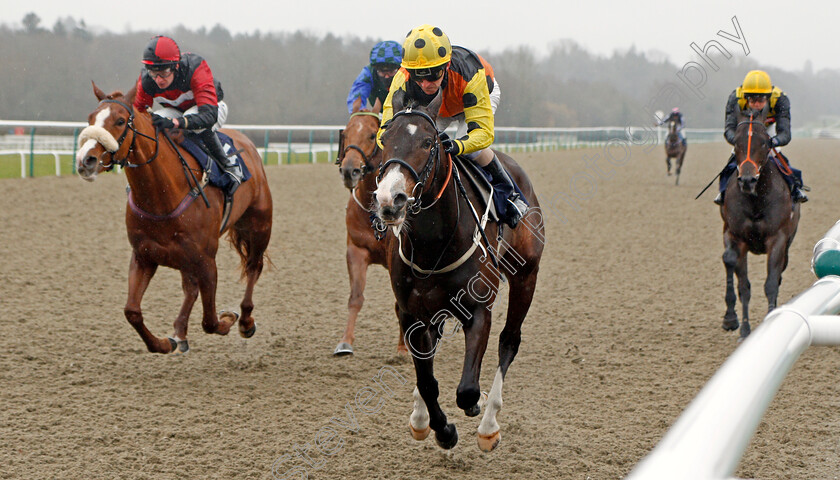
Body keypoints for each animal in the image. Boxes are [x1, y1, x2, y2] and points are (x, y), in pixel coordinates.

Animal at [76, 82, 272, 352]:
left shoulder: (206, 260)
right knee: (190, 288)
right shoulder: (144, 255)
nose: (86, 160)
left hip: (259, 226)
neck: (162, 197)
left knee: (254, 267)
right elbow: (132, 311)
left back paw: (245, 321)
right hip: (184, 258)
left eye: (120, 120)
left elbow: (210, 321)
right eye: (90, 119)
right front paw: (164, 343)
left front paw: (228, 318)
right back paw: (180, 332)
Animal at [332, 109, 404, 356]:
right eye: (346, 133)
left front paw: (403, 349)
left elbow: (402, 303)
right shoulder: (356, 250)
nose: (349, 171)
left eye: (373, 135)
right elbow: (355, 297)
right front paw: (345, 342)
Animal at [374, 92, 544, 452]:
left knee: (509, 342)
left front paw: (475, 408)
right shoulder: (411, 312)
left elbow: (467, 390)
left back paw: (489, 425)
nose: (389, 200)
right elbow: (427, 381)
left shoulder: (479, 308)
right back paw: (421, 417)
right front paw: (441, 429)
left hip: (527, 275)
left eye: (427, 142)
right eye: (385, 139)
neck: (434, 241)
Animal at [720, 109, 800, 342]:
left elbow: (771, 283)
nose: (747, 180)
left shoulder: (778, 239)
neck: (756, 200)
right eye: (736, 142)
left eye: (765, 142)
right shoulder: (738, 238)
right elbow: (743, 286)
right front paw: (743, 329)